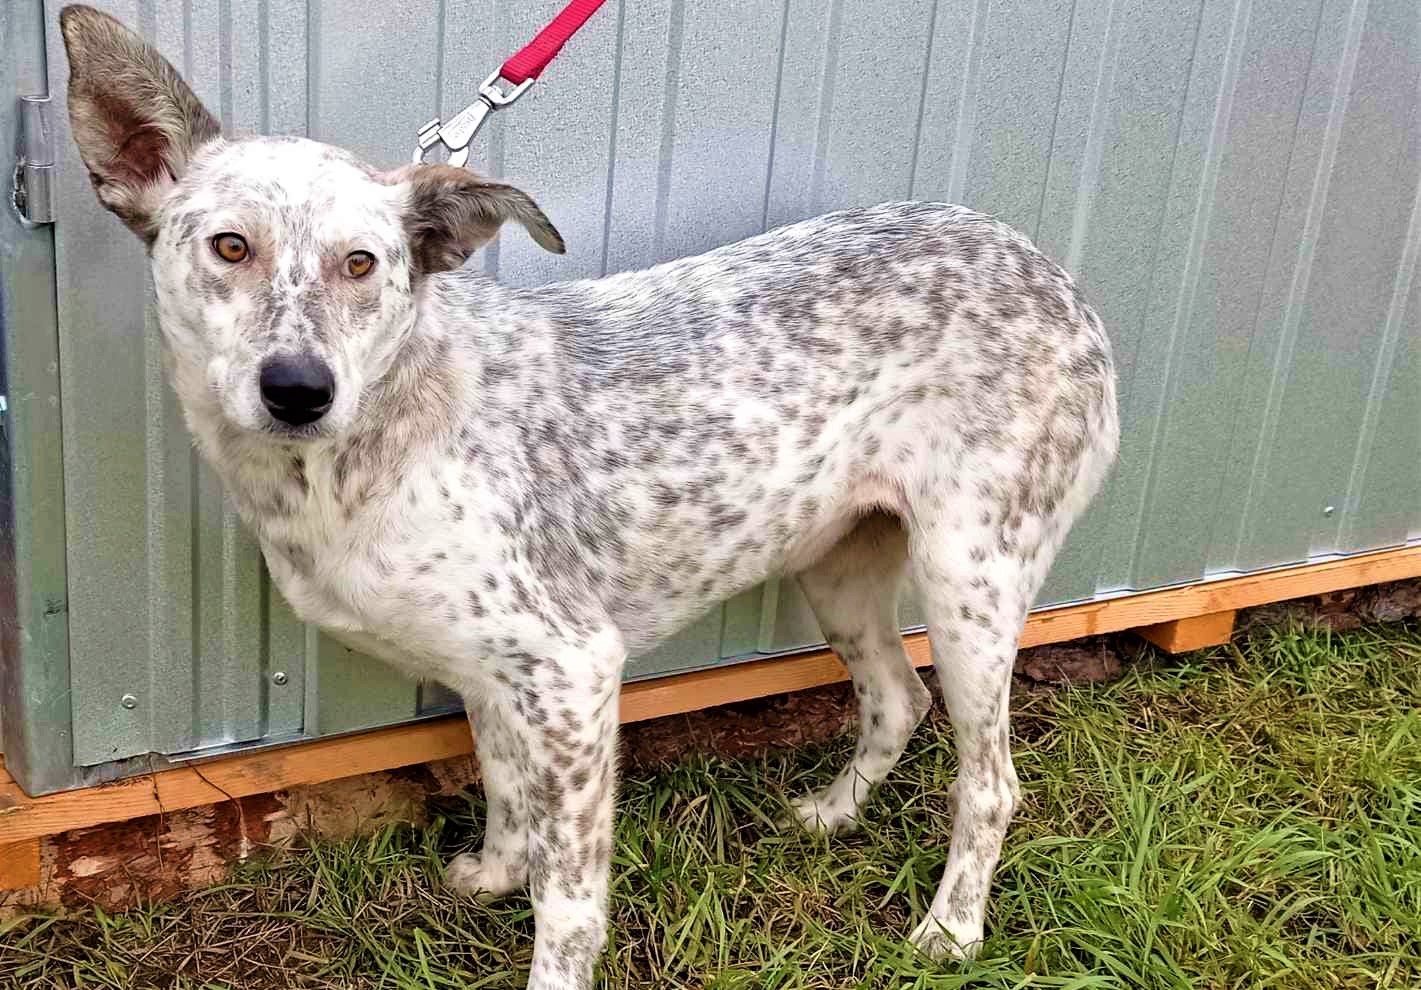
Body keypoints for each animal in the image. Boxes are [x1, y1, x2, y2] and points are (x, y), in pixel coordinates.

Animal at [59, 5, 1118, 987]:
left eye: (361, 264)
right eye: (229, 248)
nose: (297, 389)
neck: (375, 443)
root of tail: (1054, 275)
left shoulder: (573, 669)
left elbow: (567, 899)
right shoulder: (492, 673)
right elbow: (505, 789)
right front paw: (493, 871)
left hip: (970, 579)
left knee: (991, 783)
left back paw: (951, 930)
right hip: (839, 564)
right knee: (898, 699)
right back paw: (830, 814)